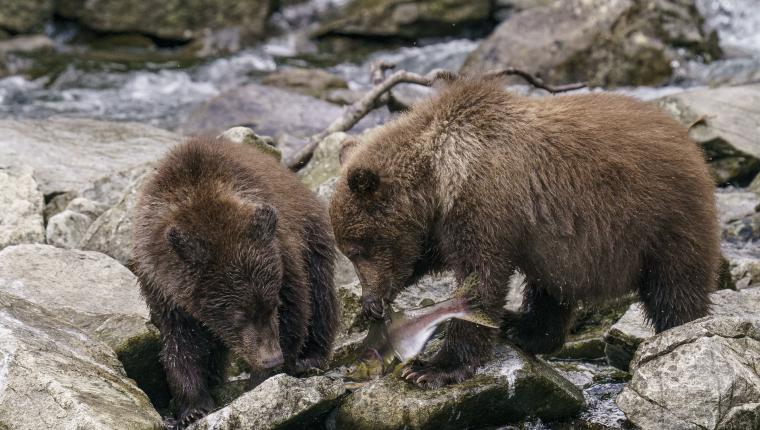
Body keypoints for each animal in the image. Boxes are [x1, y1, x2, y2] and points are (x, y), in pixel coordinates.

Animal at [133, 138, 338, 426]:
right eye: (238, 314)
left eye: (272, 305)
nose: (271, 358)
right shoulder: (162, 286)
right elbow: (181, 342)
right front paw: (193, 407)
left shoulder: (283, 254)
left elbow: (295, 310)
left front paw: (263, 379)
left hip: (312, 234)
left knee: (320, 295)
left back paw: (312, 357)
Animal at [332, 77, 720, 390]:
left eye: (357, 249)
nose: (374, 299)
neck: (439, 178)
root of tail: (690, 143)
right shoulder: (444, 224)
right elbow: (429, 257)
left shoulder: (485, 205)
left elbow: (481, 278)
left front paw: (432, 368)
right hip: (559, 246)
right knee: (550, 289)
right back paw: (522, 327)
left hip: (663, 221)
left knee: (675, 290)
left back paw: (681, 331)